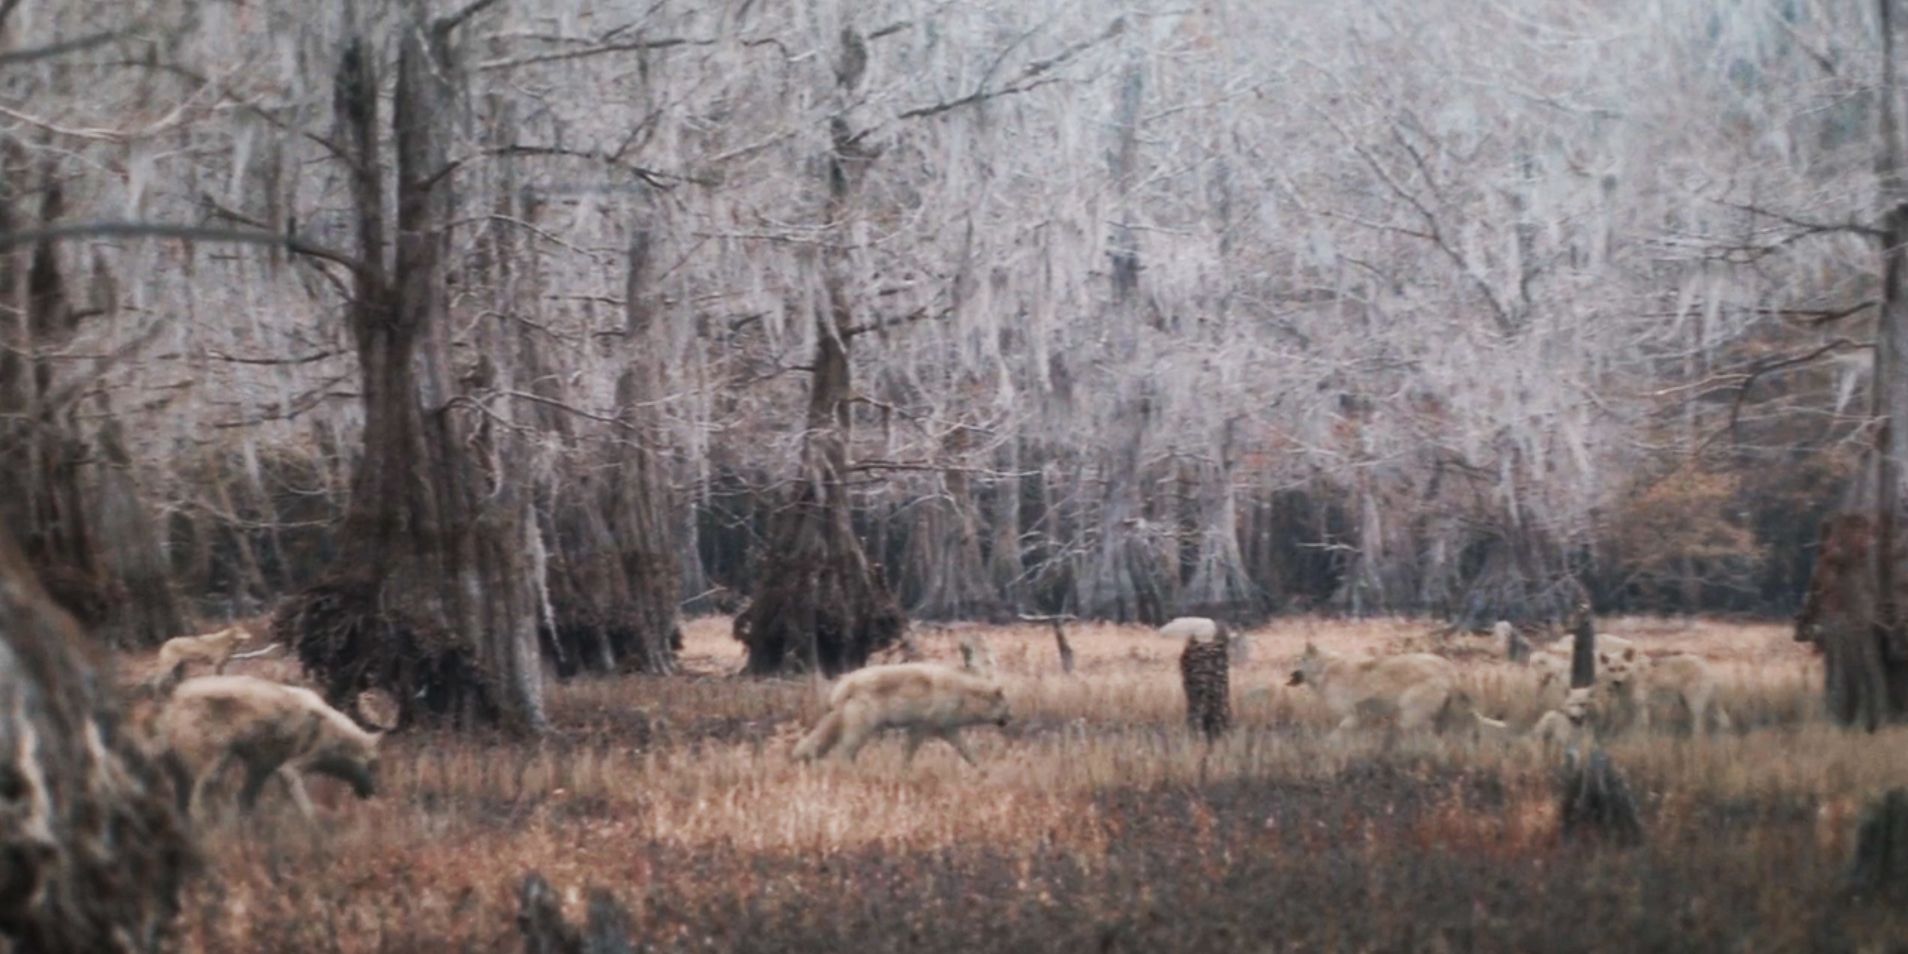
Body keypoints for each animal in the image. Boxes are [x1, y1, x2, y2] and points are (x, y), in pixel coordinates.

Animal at [155, 671, 383, 820]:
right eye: (373, 766)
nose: (373, 794)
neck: (335, 735)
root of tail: (174, 699)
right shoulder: (289, 770)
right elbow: (306, 809)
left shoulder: (261, 768)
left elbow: (245, 804)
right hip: (215, 768)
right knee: (196, 807)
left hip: (189, 774)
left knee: (184, 808)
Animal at [789, 663, 1015, 767]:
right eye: (1007, 708)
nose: (1010, 720)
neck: (963, 695)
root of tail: (843, 686)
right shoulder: (923, 725)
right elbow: (910, 750)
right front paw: (904, 768)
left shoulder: (946, 728)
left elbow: (965, 749)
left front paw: (981, 769)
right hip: (863, 726)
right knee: (844, 751)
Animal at [1297, 644, 1503, 740]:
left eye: (1299, 660)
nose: (1292, 673)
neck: (1324, 669)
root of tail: (1450, 669)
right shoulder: (1360, 717)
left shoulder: (1351, 714)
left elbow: (1337, 732)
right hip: (1445, 714)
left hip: (1410, 713)